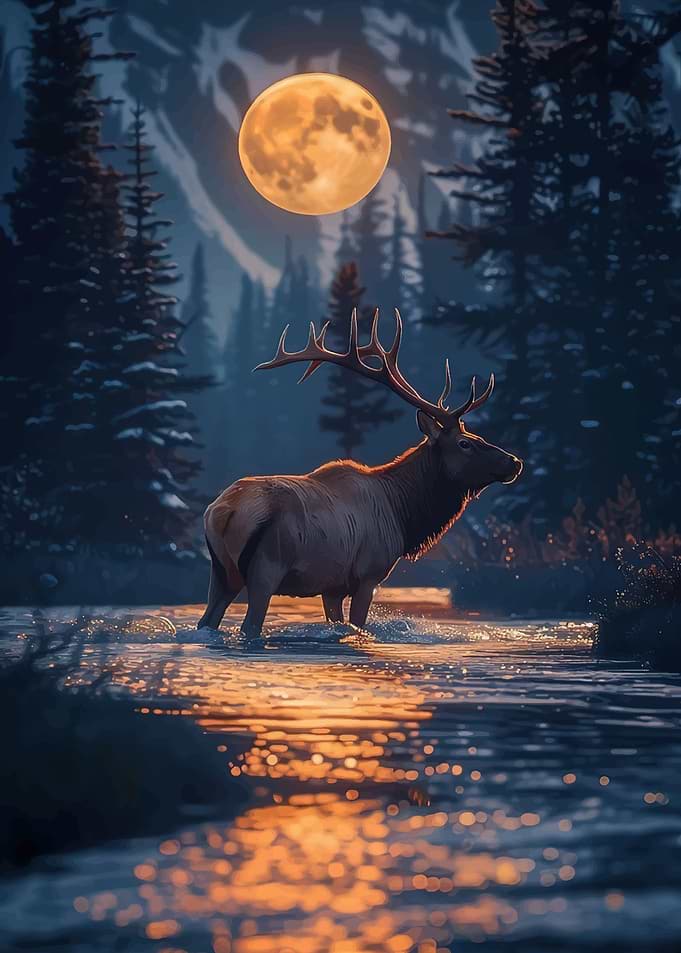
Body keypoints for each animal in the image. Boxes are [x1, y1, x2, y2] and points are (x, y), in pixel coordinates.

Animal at [198, 309, 522, 636]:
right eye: (465, 443)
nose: (514, 462)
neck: (403, 514)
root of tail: (224, 511)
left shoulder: (332, 586)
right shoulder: (368, 575)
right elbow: (358, 624)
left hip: (220, 572)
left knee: (206, 620)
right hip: (267, 567)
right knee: (249, 625)